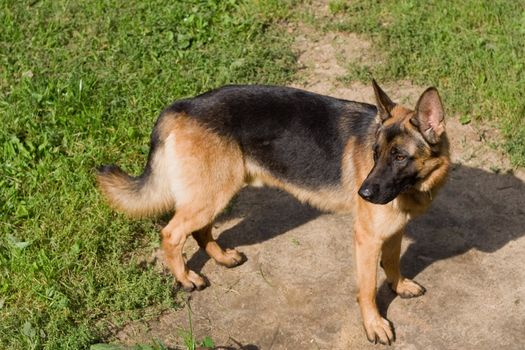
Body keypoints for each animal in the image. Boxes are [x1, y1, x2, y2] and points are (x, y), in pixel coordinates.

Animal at [98, 81, 450, 344]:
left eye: (399, 156)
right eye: (375, 154)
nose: (362, 193)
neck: (416, 185)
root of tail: (181, 105)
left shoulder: (393, 230)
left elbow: (393, 261)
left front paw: (399, 285)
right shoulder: (367, 238)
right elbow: (367, 289)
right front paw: (374, 324)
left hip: (216, 192)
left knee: (200, 230)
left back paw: (221, 257)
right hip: (212, 194)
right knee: (172, 233)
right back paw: (186, 278)